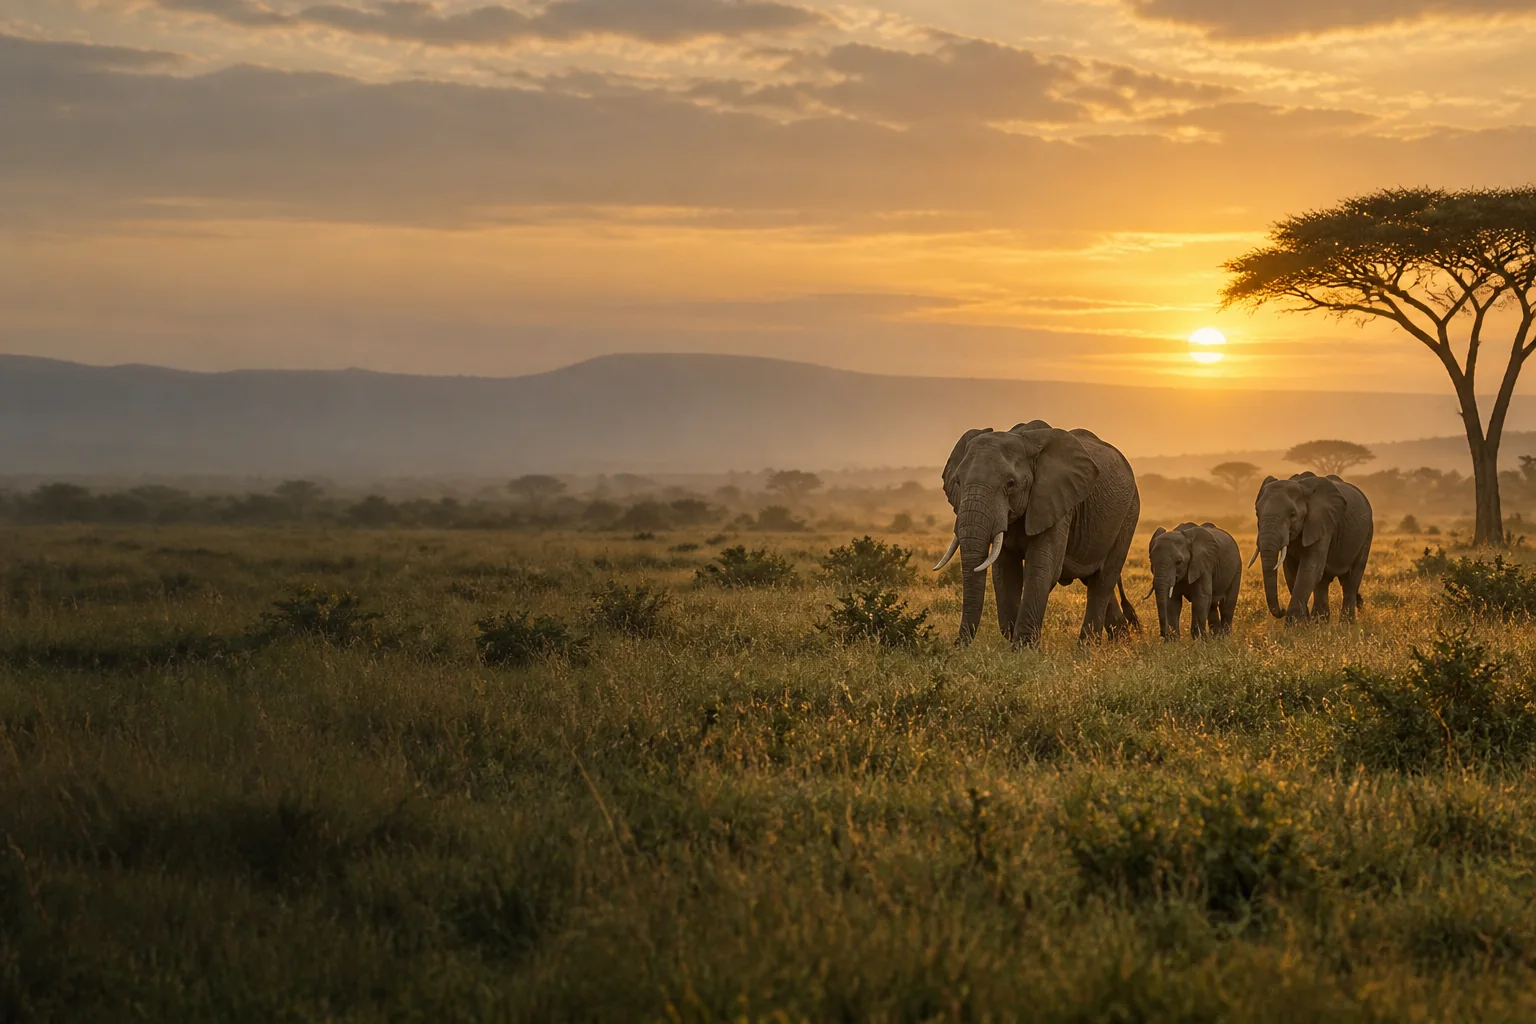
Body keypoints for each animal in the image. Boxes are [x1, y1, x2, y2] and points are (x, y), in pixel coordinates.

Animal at [932, 420, 1141, 646]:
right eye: (958, 482)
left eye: (1010, 484)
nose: (956, 646)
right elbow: (1004, 571)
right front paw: (1013, 638)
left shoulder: (1056, 501)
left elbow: (1041, 566)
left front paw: (1023, 648)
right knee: (1094, 580)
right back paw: (1120, 644)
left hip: (1128, 514)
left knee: (1102, 582)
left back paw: (1087, 649)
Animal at [1251, 472, 1373, 624]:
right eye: (1257, 514)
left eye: (1292, 515)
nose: (1282, 610)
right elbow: (1291, 570)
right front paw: (1304, 624)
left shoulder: (1322, 523)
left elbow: (1309, 567)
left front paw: (1294, 626)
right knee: (1323, 581)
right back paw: (1320, 623)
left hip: (1366, 534)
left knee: (1351, 581)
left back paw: (1346, 625)